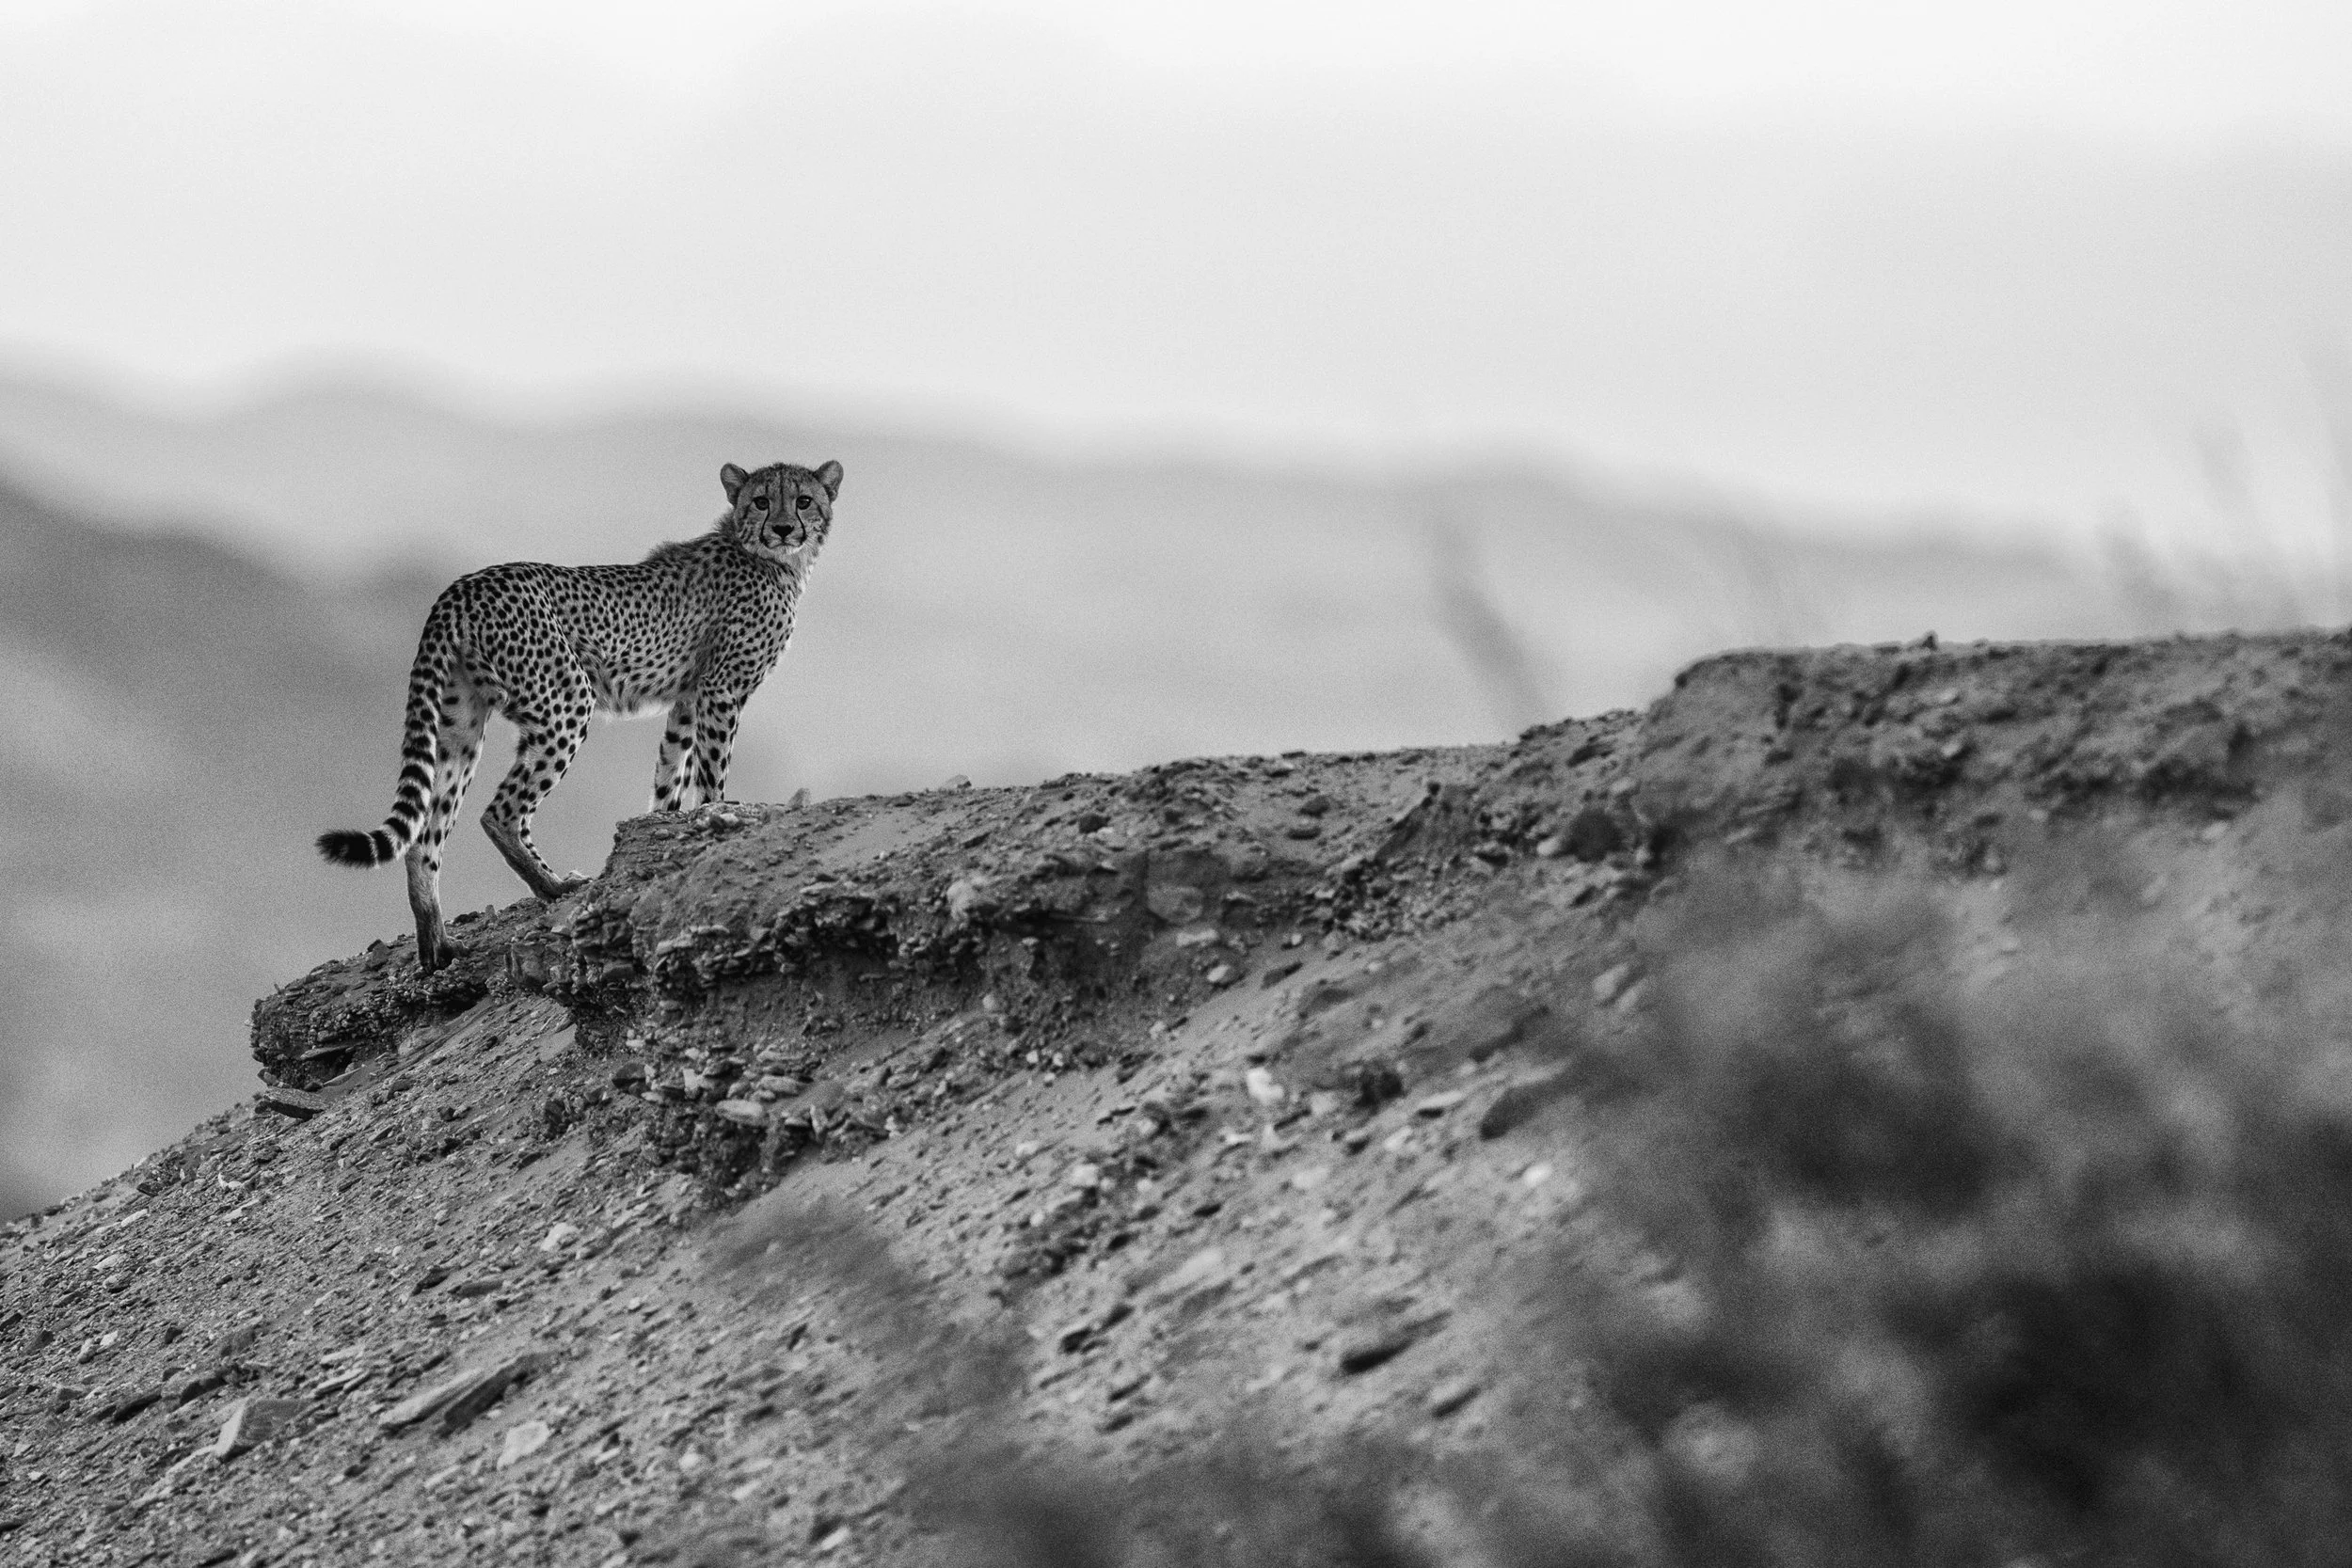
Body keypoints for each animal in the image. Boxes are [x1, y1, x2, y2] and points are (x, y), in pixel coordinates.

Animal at [318, 458, 842, 972]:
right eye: (761, 501)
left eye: (803, 500)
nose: (783, 528)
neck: (771, 558)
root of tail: (464, 586)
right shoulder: (720, 689)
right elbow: (712, 773)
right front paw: (714, 816)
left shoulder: (688, 699)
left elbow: (669, 776)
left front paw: (665, 826)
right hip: (567, 701)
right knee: (499, 813)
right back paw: (553, 886)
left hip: (459, 724)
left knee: (426, 834)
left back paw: (437, 942)